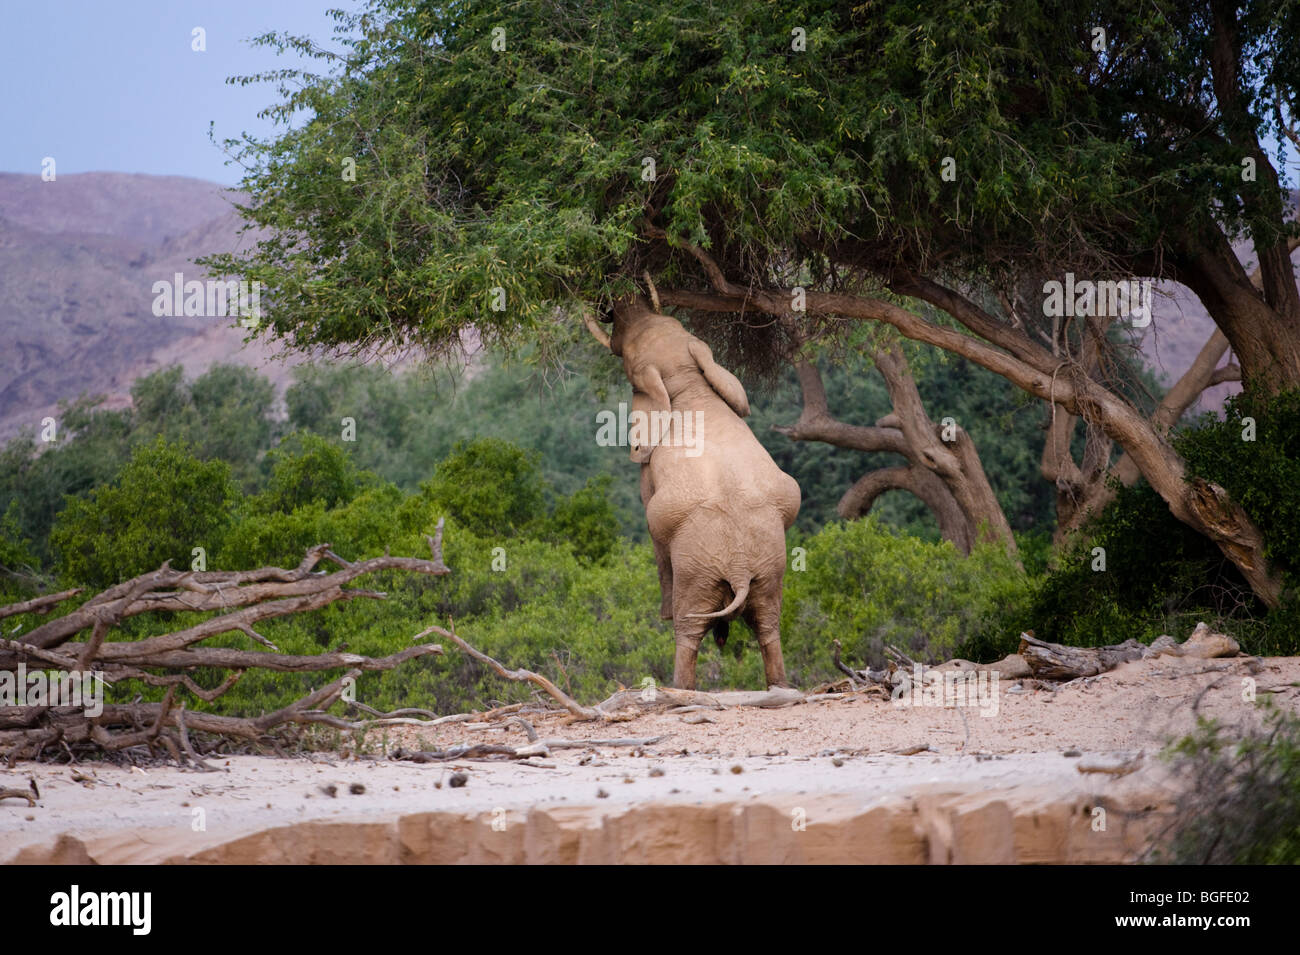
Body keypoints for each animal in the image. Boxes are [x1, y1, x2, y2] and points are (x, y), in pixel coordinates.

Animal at [598, 294, 800, 691]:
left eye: (627, 357)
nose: (610, 306)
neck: (691, 386)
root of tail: (738, 568)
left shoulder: (648, 475)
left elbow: (652, 521)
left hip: (698, 569)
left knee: (689, 628)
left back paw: (679, 688)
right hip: (770, 567)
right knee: (769, 624)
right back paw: (779, 687)